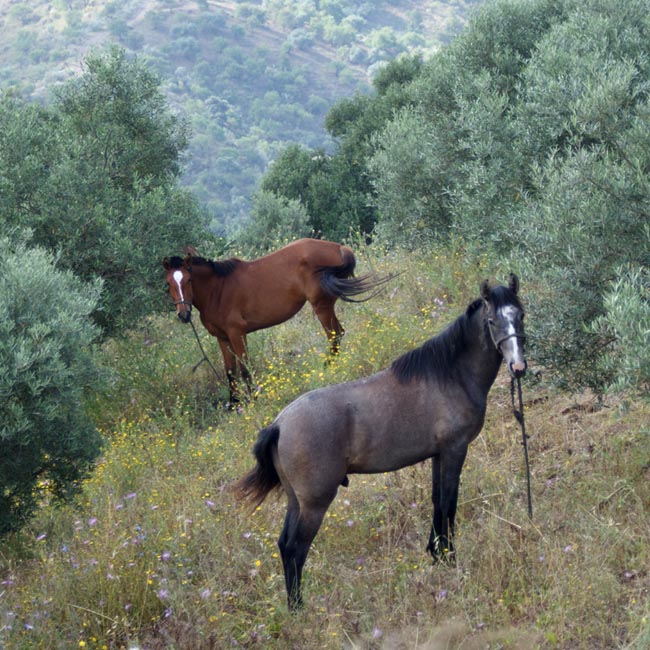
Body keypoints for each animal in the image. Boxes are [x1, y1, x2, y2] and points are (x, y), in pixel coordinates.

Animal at [163, 238, 390, 405]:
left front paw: (252, 399)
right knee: (338, 334)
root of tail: (337, 247)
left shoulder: (237, 333)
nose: (183, 315)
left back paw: (327, 369)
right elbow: (230, 372)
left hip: (322, 305)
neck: (218, 290)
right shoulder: (222, 338)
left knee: (334, 335)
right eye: (168, 283)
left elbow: (245, 368)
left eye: (189, 280)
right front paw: (234, 403)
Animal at [236, 275, 527, 610]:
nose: (518, 367)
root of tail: (279, 425)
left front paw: (436, 554)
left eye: (520, 315)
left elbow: (437, 501)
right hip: (315, 503)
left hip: (297, 501)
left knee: (284, 545)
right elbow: (449, 503)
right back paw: (299, 607)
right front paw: (449, 559)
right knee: (296, 548)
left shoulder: (439, 454)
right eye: (492, 321)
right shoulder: (455, 449)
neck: (451, 374)